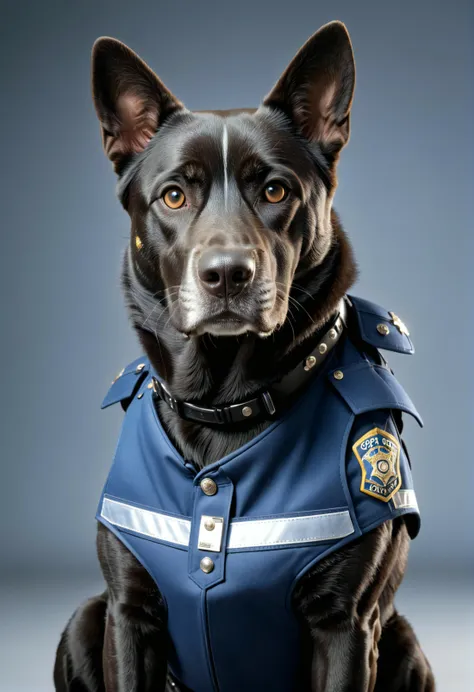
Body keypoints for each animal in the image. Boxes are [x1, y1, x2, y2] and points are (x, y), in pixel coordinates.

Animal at [53, 21, 436, 692]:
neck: (223, 405)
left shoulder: (346, 623)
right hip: (84, 619)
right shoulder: (126, 611)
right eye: (173, 196)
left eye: (275, 190)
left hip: (404, 642)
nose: (228, 273)